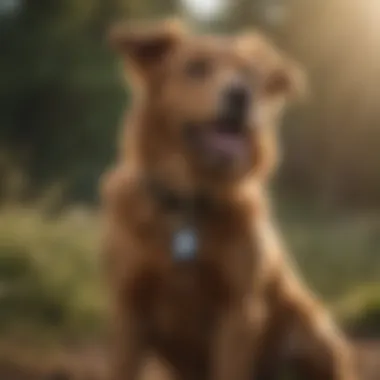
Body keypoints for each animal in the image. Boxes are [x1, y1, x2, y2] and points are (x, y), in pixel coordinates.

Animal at [100, 19, 356, 380]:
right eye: (195, 68)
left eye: (249, 75)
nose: (241, 95)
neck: (191, 199)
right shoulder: (129, 308)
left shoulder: (238, 312)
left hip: (311, 331)